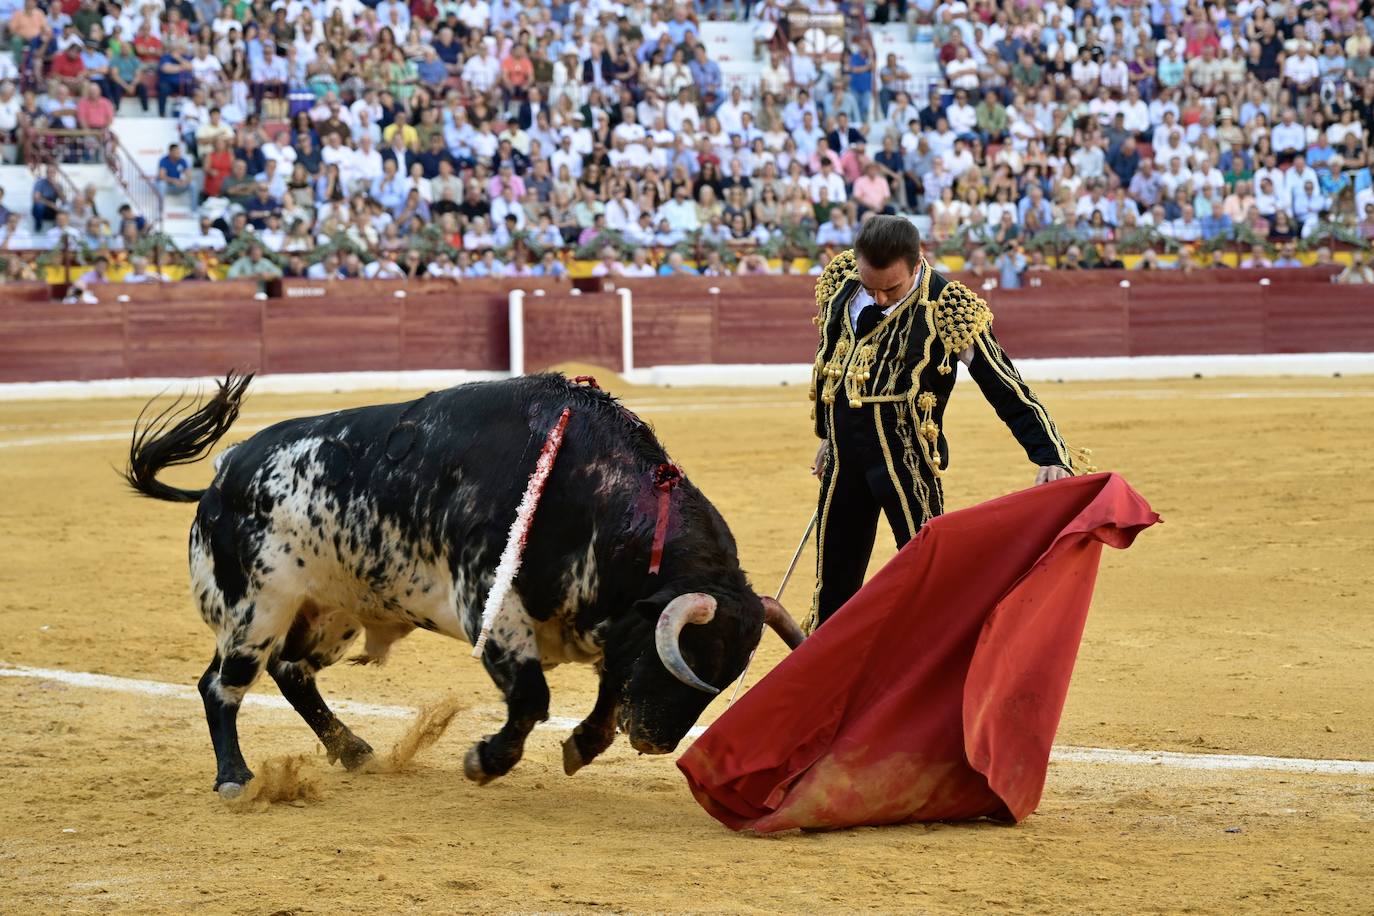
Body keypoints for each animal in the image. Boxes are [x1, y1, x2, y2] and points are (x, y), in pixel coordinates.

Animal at [129, 373, 802, 802]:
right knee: (222, 686)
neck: (595, 497)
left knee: (290, 672)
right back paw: (235, 779)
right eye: (690, 658)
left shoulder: (611, 629)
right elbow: (532, 699)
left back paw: (353, 751)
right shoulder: (491, 608)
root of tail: (225, 473)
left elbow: (609, 693)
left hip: (330, 611)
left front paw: (580, 746)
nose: (658, 743)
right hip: (256, 608)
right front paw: (483, 762)